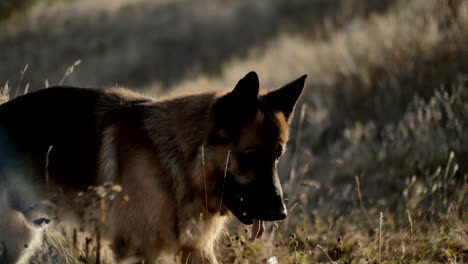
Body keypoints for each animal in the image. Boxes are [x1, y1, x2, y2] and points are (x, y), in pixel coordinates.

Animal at [0, 71, 308, 262]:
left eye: (278, 155)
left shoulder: (197, 250)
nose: (279, 213)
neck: (177, 162)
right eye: (251, 155)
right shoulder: (135, 252)